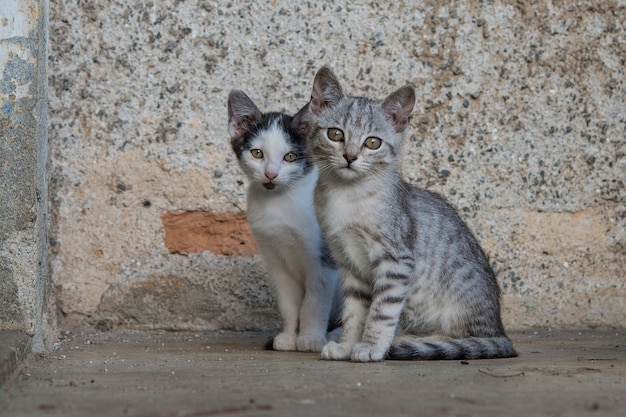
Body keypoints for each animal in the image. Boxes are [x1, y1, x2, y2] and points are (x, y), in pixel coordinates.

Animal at [225, 91, 342, 352]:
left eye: (290, 157)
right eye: (257, 153)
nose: (271, 174)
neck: (279, 201)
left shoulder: (323, 262)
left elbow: (314, 302)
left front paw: (310, 338)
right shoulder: (275, 259)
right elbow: (288, 303)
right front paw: (289, 337)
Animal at [304, 67, 516, 360]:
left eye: (372, 142)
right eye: (335, 134)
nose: (350, 156)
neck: (347, 196)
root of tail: (501, 331)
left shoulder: (396, 261)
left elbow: (381, 311)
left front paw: (371, 346)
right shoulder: (349, 264)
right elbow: (354, 313)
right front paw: (347, 344)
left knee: (464, 340)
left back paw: (407, 341)